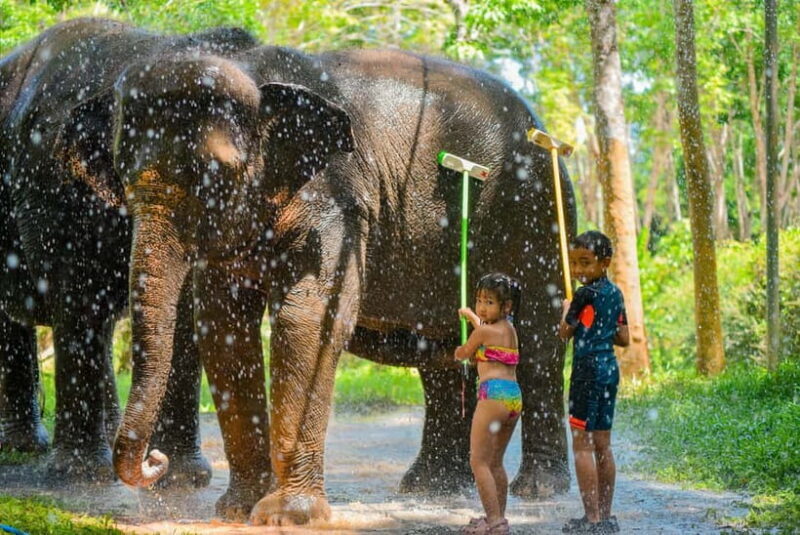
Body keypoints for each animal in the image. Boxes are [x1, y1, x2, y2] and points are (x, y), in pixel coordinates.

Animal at [0, 18, 260, 483]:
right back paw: (30, 449)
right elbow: (78, 295)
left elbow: (185, 309)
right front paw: (81, 475)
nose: (153, 461)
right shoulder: (52, 186)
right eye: (126, 169)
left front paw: (183, 478)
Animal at [95, 38, 577, 524]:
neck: (253, 71)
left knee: (535, 341)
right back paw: (432, 487)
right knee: (442, 350)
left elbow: (309, 319)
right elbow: (223, 328)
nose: (155, 461)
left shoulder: (337, 197)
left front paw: (288, 516)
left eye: (214, 172)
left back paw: (538, 489)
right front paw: (238, 510)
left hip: (535, 209)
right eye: (120, 170)